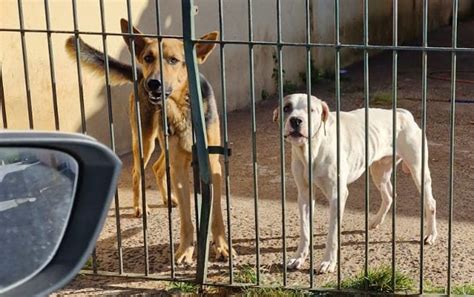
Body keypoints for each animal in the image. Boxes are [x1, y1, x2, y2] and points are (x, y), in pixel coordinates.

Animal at [64, 18, 231, 262]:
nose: (153, 84)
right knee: (138, 172)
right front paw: (186, 249)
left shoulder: (212, 164)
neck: (183, 107)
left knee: (157, 167)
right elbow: (186, 218)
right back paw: (140, 207)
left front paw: (222, 247)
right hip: (146, 142)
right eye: (148, 57)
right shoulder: (179, 168)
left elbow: (217, 213)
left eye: (173, 60)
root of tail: (139, 75)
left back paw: (167, 198)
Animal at [272, 93, 438, 272]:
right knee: (389, 196)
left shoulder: (337, 196)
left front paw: (328, 262)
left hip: (419, 172)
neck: (312, 149)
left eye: (311, 110)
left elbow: (332, 234)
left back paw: (431, 235)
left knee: (430, 203)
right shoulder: (304, 195)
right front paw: (298, 258)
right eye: (286, 108)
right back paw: (375, 222)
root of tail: (403, 113)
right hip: (379, 172)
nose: (296, 120)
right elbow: (304, 230)